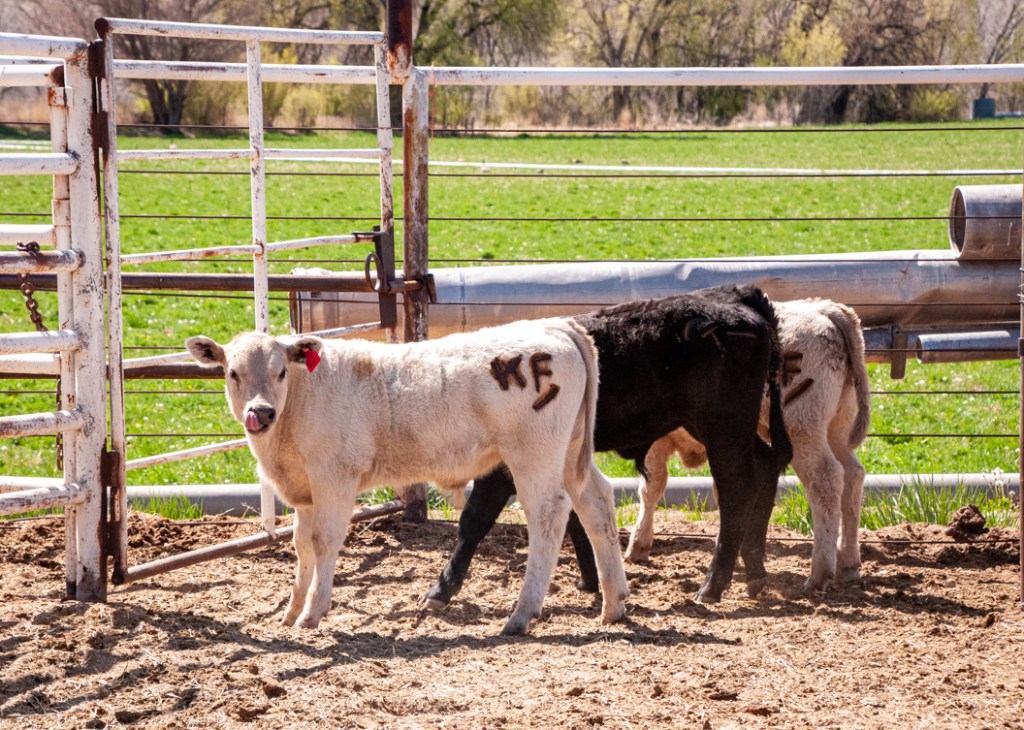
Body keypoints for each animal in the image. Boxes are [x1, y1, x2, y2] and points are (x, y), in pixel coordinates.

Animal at [185, 318, 628, 635]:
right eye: (232, 373)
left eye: (280, 372)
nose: (260, 412)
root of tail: (555, 326)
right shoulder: (304, 491)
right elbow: (302, 547)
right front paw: (292, 611)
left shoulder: (334, 478)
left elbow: (324, 542)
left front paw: (312, 612)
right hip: (570, 453)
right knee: (597, 502)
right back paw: (614, 603)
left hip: (534, 456)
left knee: (549, 515)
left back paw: (522, 614)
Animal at [424, 285, 793, 609]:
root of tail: (734, 295)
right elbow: (575, 518)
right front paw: (590, 581)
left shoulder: (507, 462)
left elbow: (475, 519)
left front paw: (441, 589)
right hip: (725, 430)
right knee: (766, 467)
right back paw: (755, 571)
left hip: (722, 429)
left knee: (736, 491)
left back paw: (713, 585)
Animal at [626, 298, 871, 592]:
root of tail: (824, 309)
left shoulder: (656, 442)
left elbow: (652, 487)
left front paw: (638, 544)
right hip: (837, 429)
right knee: (853, 476)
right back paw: (848, 564)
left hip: (802, 429)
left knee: (826, 479)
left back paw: (819, 574)